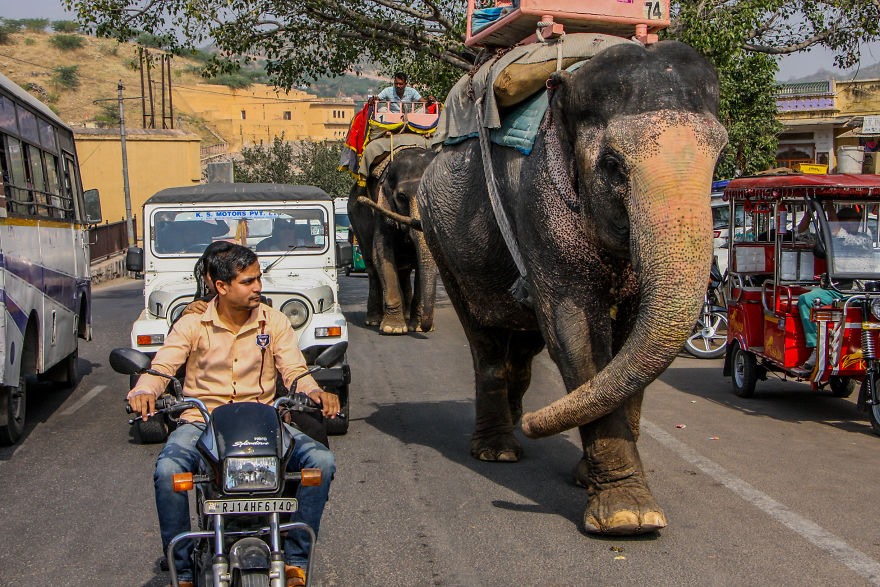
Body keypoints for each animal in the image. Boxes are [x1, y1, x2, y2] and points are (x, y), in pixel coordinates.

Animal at [348, 147, 438, 334]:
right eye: (402, 197)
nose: (426, 327)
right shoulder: (382, 208)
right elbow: (382, 254)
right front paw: (393, 329)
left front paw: (417, 327)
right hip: (356, 219)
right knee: (372, 267)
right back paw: (374, 320)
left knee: (404, 270)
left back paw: (405, 316)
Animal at [417, 40, 727, 535]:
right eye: (613, 165)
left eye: (719, 156)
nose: (537, 424)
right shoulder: (540, 203)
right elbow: (574, 329)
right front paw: (627, 517)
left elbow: (628, 342)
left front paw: (594, 485)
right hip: (441, 237)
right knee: (485, 338)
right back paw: (498, 450)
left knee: (522, 342)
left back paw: (516, 419)